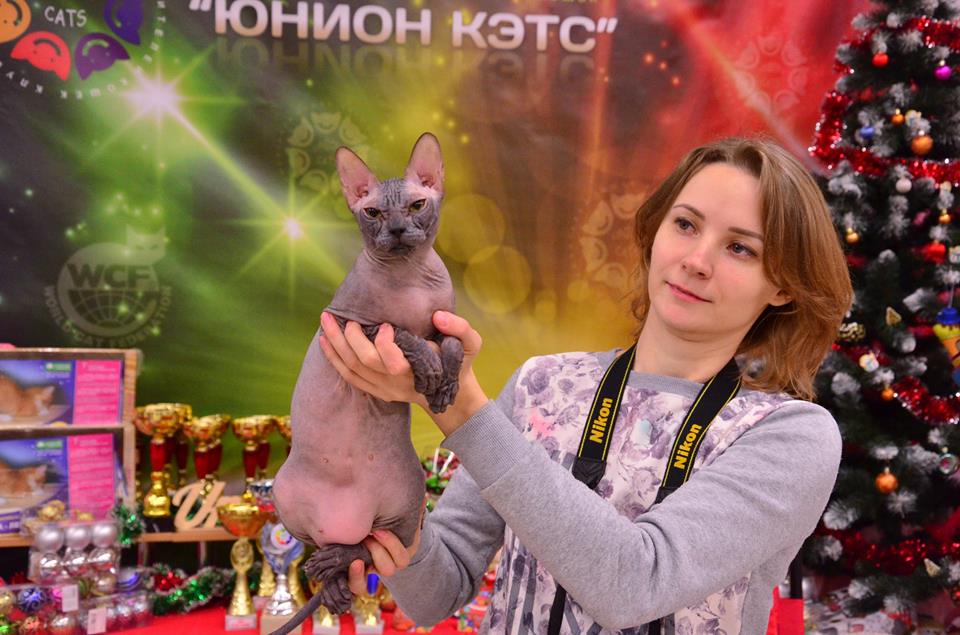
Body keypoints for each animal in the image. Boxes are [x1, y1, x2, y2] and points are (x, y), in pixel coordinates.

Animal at [272, 133, 463, 633]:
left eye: (416, 205)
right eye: (374, 213)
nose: (396, 230)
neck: (410, 278)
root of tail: (345, 522)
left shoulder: (445, 321)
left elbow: (454, 343)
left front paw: (445, 386)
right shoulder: (346, 324)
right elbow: (397, 331)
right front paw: (429, 370)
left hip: (408, 498)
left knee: (372, 550)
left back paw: (338, 572)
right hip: (282, 493)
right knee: (337, 550)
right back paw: (332, 578)